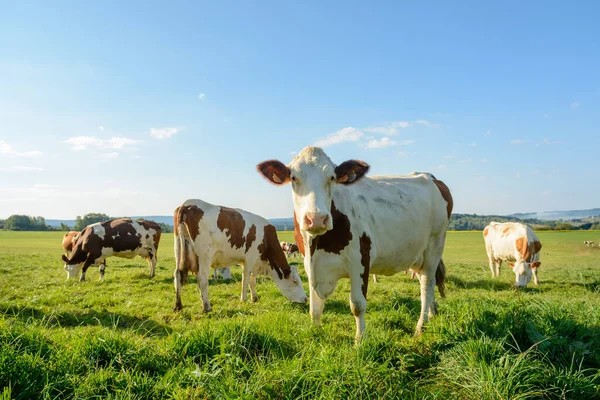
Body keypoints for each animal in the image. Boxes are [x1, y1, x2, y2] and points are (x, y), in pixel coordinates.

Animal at [172, 200, 304, 312]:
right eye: (295, 281)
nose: (306, 298)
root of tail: (187, 204)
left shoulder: (247, 261)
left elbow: (252, 280)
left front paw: (254, 298)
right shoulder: (250, 258)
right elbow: (245, 279)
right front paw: (244, 299)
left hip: (178, 248)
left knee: (177, 275)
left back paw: (178, 305)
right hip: (204, 255)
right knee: (202, 278)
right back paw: (206, 307)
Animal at [256, 147, 450, 340]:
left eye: (332, 177)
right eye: (294, 178)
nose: (316, 219)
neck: (317, 245)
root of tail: (430, 177)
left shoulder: (360, 260)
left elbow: (357, 305)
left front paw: (360, 339)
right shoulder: (309, 264)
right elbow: (315, 308)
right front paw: (315, 333)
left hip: (435, 245)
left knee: (427, 284)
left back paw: (421, 327)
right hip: (417, 255)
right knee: (424, 281)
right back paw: (432, 313)